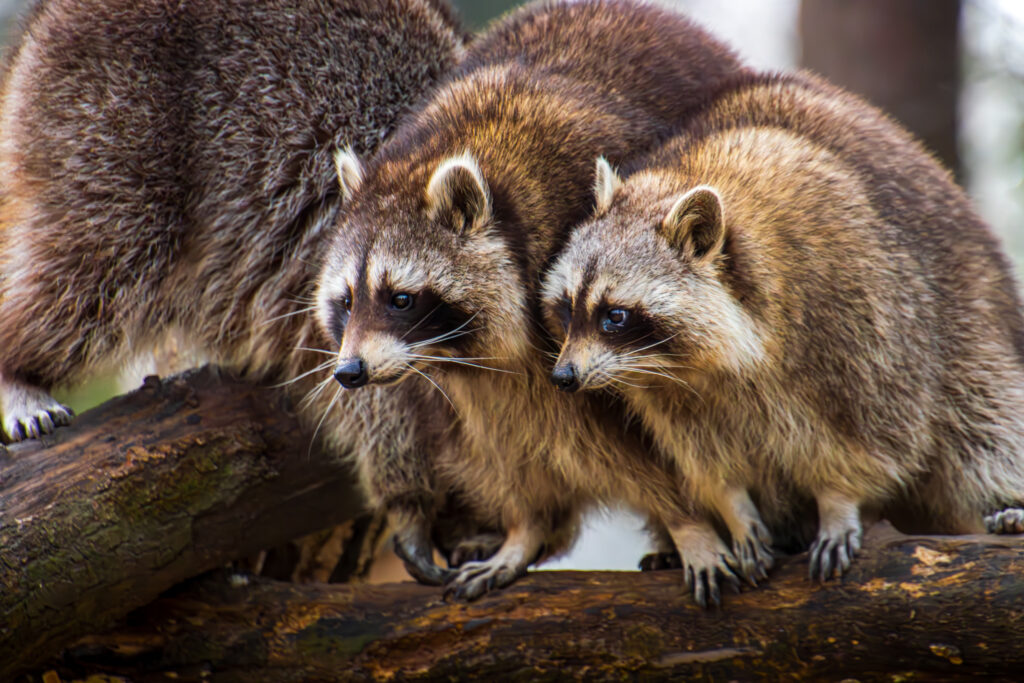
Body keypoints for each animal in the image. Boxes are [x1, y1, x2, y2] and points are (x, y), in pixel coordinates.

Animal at [0, 0, 471, 585]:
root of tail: (44, 26)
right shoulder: (353, 280)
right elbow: (369, 394)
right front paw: (410, 497)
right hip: (113, 128)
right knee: (92, 267)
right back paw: (18, 367)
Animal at [311, 0, 753, 602]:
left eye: (400, 298)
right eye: (347, 301)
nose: (349, 372)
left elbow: (658, 445)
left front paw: (688, 524)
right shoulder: (473, 381)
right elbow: (505, 444)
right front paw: (526, 527)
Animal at [544, 69, 1024, 581]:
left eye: (614, 315)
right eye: (568, 307)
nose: (563, 377)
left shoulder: (856, 303)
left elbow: (877, 426)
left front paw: (838, 497)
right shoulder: (664, 387)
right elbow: (699, 452)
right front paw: (733, 503)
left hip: (971, 313)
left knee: (982, 421)